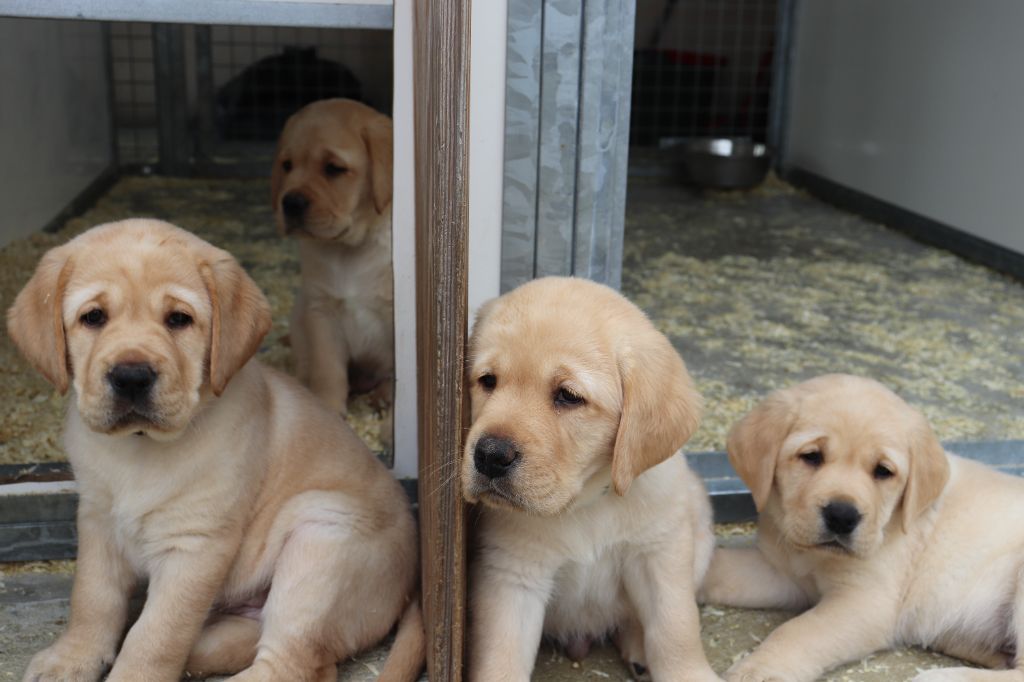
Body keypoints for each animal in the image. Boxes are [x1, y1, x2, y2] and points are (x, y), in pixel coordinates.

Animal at [12, 219, 421, 679]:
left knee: (294, 662)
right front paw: (72, 658)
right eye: (93, 317)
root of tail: (409, 584)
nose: (131, 377)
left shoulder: (196, 543)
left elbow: (157, 632)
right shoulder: (98, 518)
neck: (138, 449)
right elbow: (92, 598)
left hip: (321, 544)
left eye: (179, 319)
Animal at [270, 96, 393, 413]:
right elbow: (327, 369)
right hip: (299, 314)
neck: (349, 249)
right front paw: (327, 407)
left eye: (334, 168)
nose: (290, 203)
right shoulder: (320, 311)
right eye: (287, 165)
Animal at [464, 276, 720, 679]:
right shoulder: (511, 574)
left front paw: (688, 672)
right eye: (487, 381)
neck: (586, 503)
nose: (489, 455)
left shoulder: (659, 552)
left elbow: (675, 627)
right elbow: (501, 659)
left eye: (568, 396)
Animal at [704, 374, 1024, 675]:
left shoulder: (865, 600)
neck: (811, 556)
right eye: (811, 456)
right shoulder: (781, 574)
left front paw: (758, 670)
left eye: (883, 471)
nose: (842, 516)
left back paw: (941, 676)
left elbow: (799, 631)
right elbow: (721, 568)